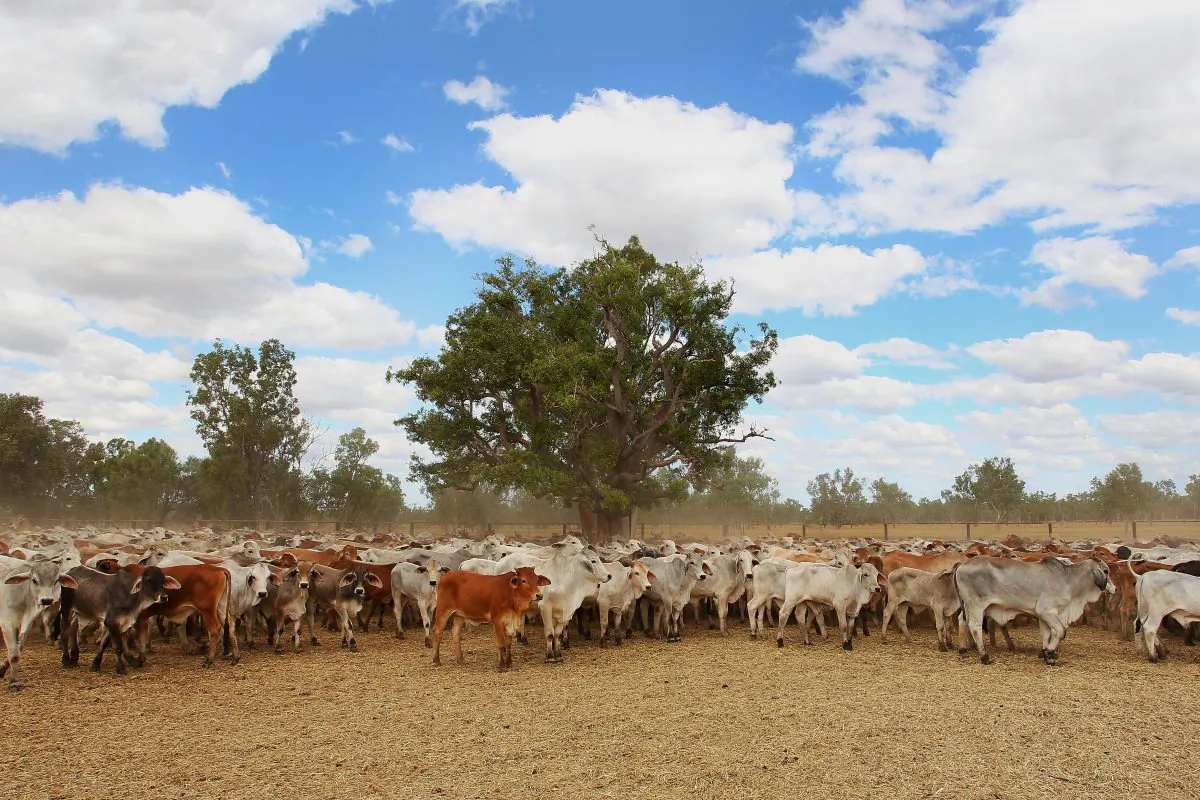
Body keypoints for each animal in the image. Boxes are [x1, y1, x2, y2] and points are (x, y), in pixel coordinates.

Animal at [0, 560, 78, 690]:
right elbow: (14, 654)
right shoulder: (7, 623)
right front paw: (14, 682)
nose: (46, 600)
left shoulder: (26, 624)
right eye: (34, 580)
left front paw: (3, 669)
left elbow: (18, 648)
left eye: (56, 581)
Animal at [953, 556, 1113, 665]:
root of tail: (963, 564)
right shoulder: (1047, 611)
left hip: (967, 606)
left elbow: (1047, 635)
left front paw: (1047, 655)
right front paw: (1049, 652)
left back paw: (963, 650)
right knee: (975, 627)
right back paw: (985, 657)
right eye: (1106, 570)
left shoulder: (1043, 616)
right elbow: (1061, 632)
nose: (1115, 588)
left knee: (962, 621)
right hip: (977, 606)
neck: (1068, 580)